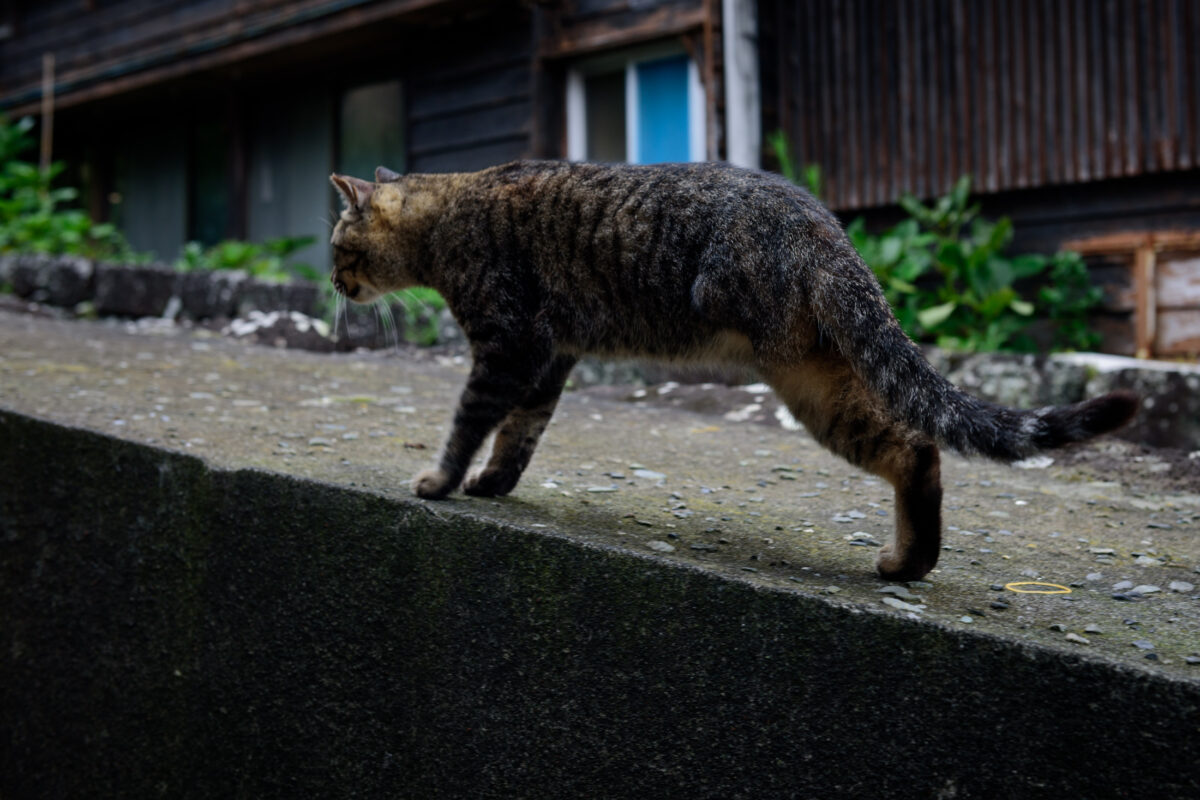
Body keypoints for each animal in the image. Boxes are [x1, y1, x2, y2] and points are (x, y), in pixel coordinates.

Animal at [328, 159, 1132, 578]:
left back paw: (908, 563)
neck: (444, 215)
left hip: (799, 378)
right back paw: (910, 563)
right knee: (916, 448)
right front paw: (493, 484)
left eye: (338, 247)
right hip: (818, 383)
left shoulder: (509, 346)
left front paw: (442, 482)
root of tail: (825, 225)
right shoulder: (549, 355)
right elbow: (520, 432)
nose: (333, 281)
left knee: (916, 446)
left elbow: (471, 420)